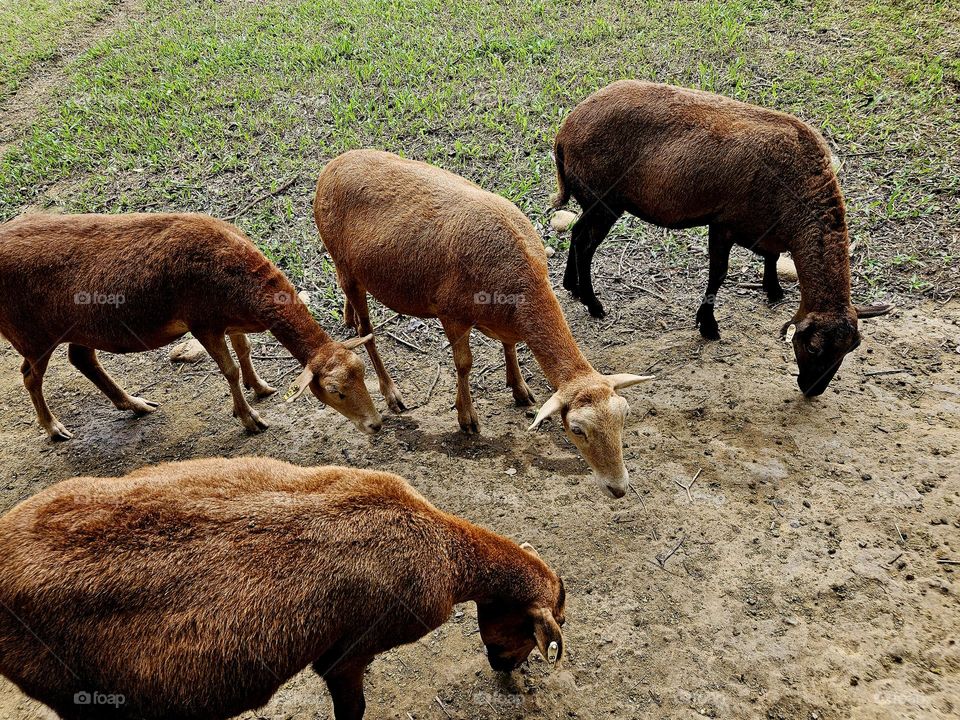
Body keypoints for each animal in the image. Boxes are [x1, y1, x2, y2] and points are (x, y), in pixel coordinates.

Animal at [0, 212, 382, 438]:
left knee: (82, 359)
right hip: (31, 334)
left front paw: (260, 387)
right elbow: (229, 369)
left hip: (80, 327)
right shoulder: (203, 322)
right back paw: (54, 427)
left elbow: (245, 351)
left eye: (363, 373)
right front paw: (250, 418)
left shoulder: (229, 319)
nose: (375, 424)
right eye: (335, 391)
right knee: (30, 376)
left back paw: (136, 404)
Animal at [312, 150, 652, 499]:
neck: (522, 285)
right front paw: (467, 418)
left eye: (624, 416)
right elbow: (464, 364)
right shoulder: (452, 314)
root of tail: (333, 165)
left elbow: (510, 345)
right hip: (345, 262)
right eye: (577, 429)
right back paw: (391, 392)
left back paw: (347, 315)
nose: (618, 488)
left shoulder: (505, 319)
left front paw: (519, 389)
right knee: (366, 332)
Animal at [552, 80, 891, 396]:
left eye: (850, 349)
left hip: (593, 201)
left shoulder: (763, 227)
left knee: (577, 234)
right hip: (603, 199)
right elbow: (718, 273)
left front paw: (773, 290)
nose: (812, 390)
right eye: (812, 347)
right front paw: (708, 325)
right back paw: (593, 303)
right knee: (586, 244)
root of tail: (565, 131)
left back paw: (571, 286)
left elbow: (770, 257)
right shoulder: (723, 223)